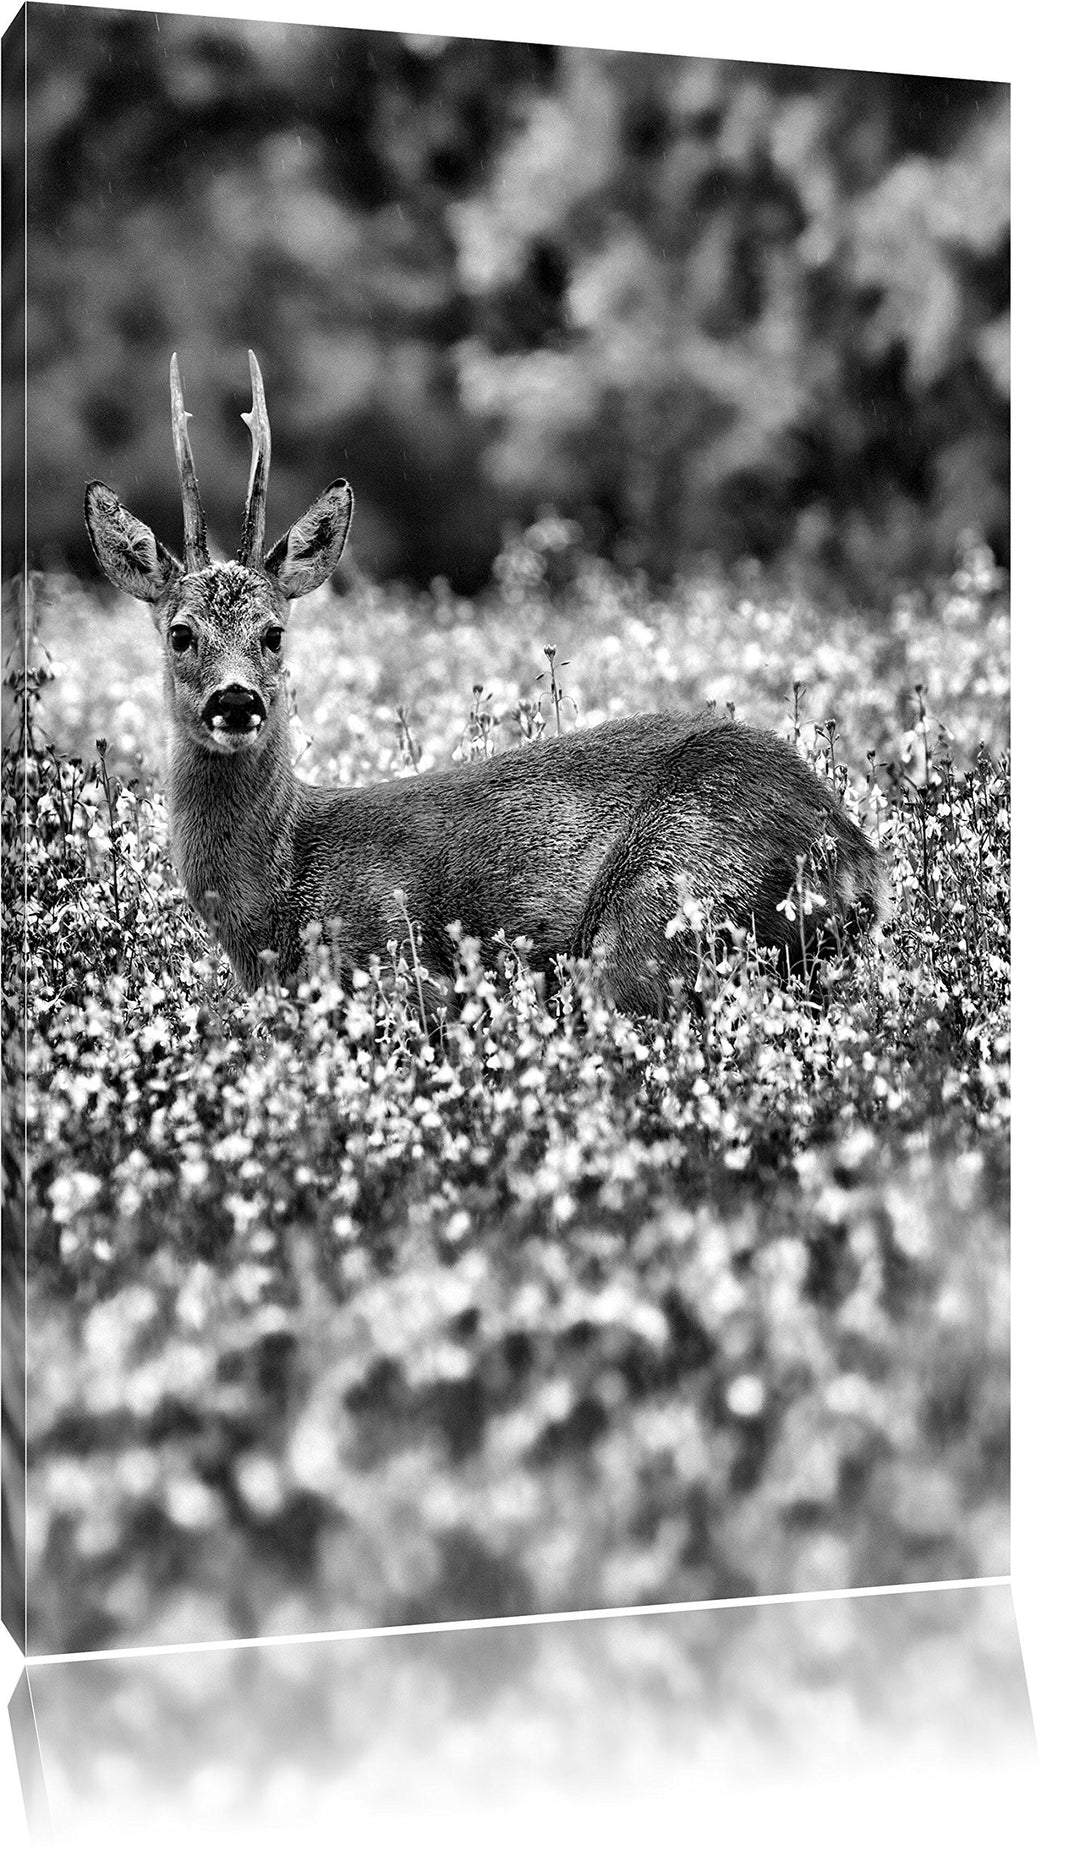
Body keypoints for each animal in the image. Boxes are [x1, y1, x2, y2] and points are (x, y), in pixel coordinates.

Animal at [84, 352, 886, 1015]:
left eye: (275, 633)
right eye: (180, 632)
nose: (236, 700)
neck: (278, 891)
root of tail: (858, 857)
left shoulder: (396, 966)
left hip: (661, 912)